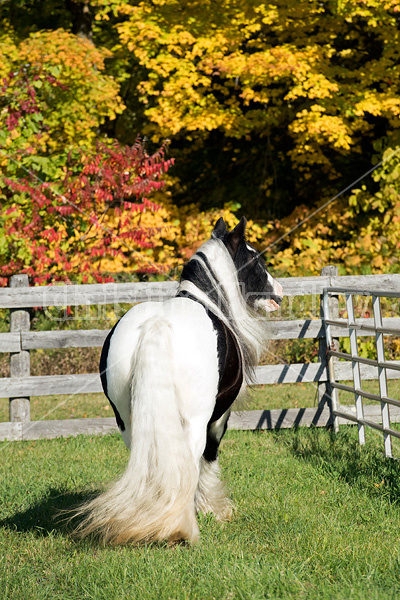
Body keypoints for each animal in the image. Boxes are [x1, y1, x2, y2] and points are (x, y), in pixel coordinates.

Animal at [73, 216, 282, 544]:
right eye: (255, 258)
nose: (279, 292)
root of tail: (157, 323)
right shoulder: (218, 419)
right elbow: (208, 461)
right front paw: (213, 510)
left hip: (128, 422)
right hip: (195, 422)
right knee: (191, 461)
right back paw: (182, 526)